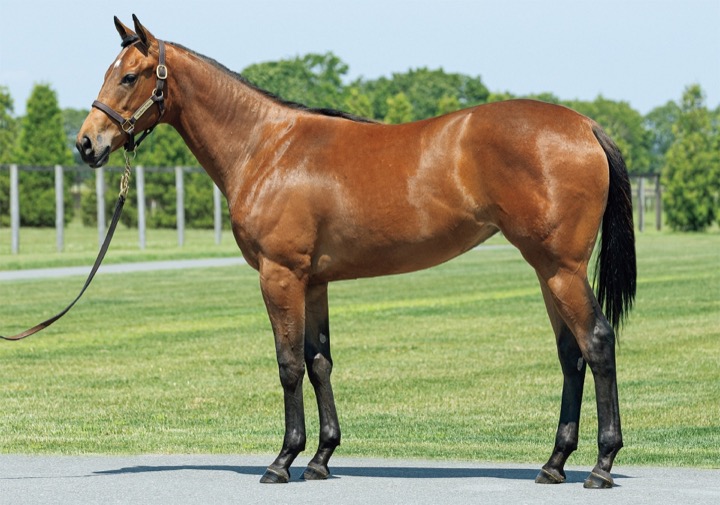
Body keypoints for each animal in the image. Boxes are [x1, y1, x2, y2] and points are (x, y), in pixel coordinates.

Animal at [77, 15, 636, 488]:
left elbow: (288, 364)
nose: (86, 144)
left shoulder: (280, 276)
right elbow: (319, 360)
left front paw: (283, 460)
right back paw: (554, 463)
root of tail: (584, 126)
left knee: (597, 342)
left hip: (561, 269)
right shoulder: (314, 281)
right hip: (547, 271)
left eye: (129, 77)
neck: (266, 147)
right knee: (571, 355)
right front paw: (321, 458)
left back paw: (602, 464)